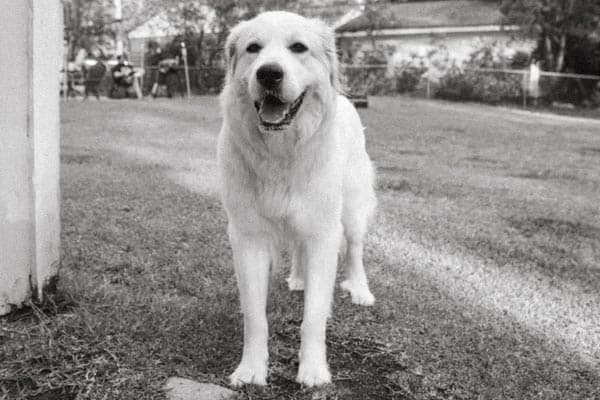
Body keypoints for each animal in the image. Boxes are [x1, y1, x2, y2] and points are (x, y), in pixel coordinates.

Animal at [217, 11, 376, 388]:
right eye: (253, 48)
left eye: (299, 48)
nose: (269, 73)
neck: (281, 152)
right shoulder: (249, 238)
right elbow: (255, 317)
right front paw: (251, 369)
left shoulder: (323, 234)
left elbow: (314, 317)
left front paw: (314, 370)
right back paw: (299, 279)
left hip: (352, 212)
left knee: (355, 251)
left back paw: (360, 290)